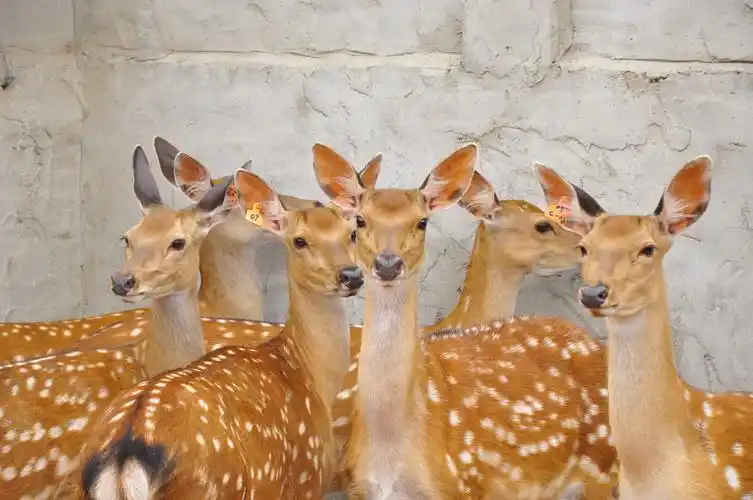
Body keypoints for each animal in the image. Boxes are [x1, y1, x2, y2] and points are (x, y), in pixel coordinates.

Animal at [56, 167, 363, 499]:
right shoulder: (308, 481)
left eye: (351, 234)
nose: (351, 275)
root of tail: (127, 453)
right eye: (300, 241)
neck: (307, 371)